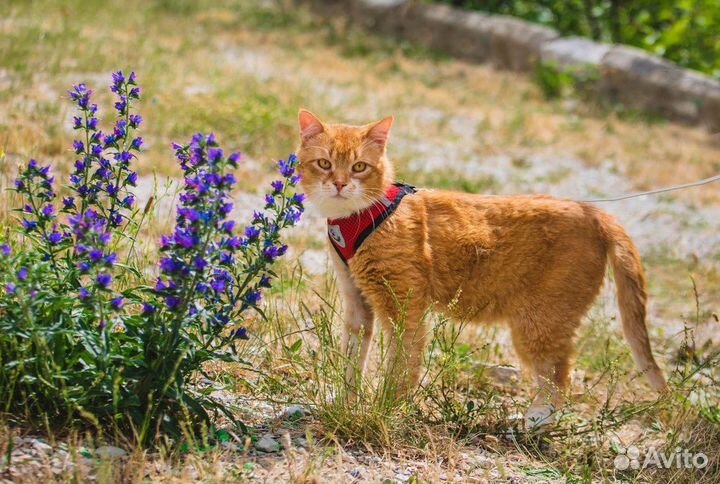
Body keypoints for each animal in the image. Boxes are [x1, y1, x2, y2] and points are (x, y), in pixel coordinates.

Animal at [296, 109, 668, 420]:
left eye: (359, 167)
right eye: (324, 163)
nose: (340, 184)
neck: (359, 218)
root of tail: (594, 212)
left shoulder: (405, 307)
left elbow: (403, 364)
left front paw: (386, 407)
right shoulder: (358, 304)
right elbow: (352, 359)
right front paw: (345, 403)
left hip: (539, 323)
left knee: (560, 378)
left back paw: (535, 421)